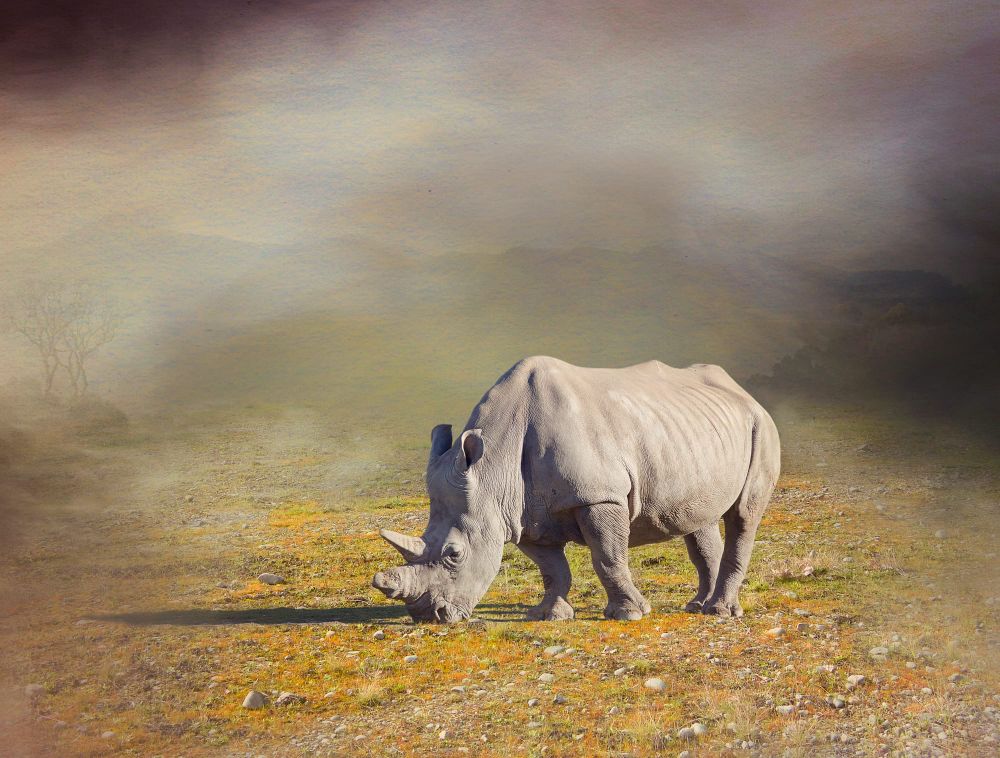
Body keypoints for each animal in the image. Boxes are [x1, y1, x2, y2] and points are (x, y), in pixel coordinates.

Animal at [372, 356, 780, 622]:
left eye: (454, 554)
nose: (429, 616)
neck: (492, 470)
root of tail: (742, 392)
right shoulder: (519, 514)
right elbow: (552, 568)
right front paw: (548, 615)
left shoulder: (600, 496)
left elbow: (607, 557)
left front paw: (630, 614)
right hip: (688, 434)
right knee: (698, 518)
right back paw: (697, 606)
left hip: (760, 425)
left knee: (743, 516)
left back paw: (721, 612)